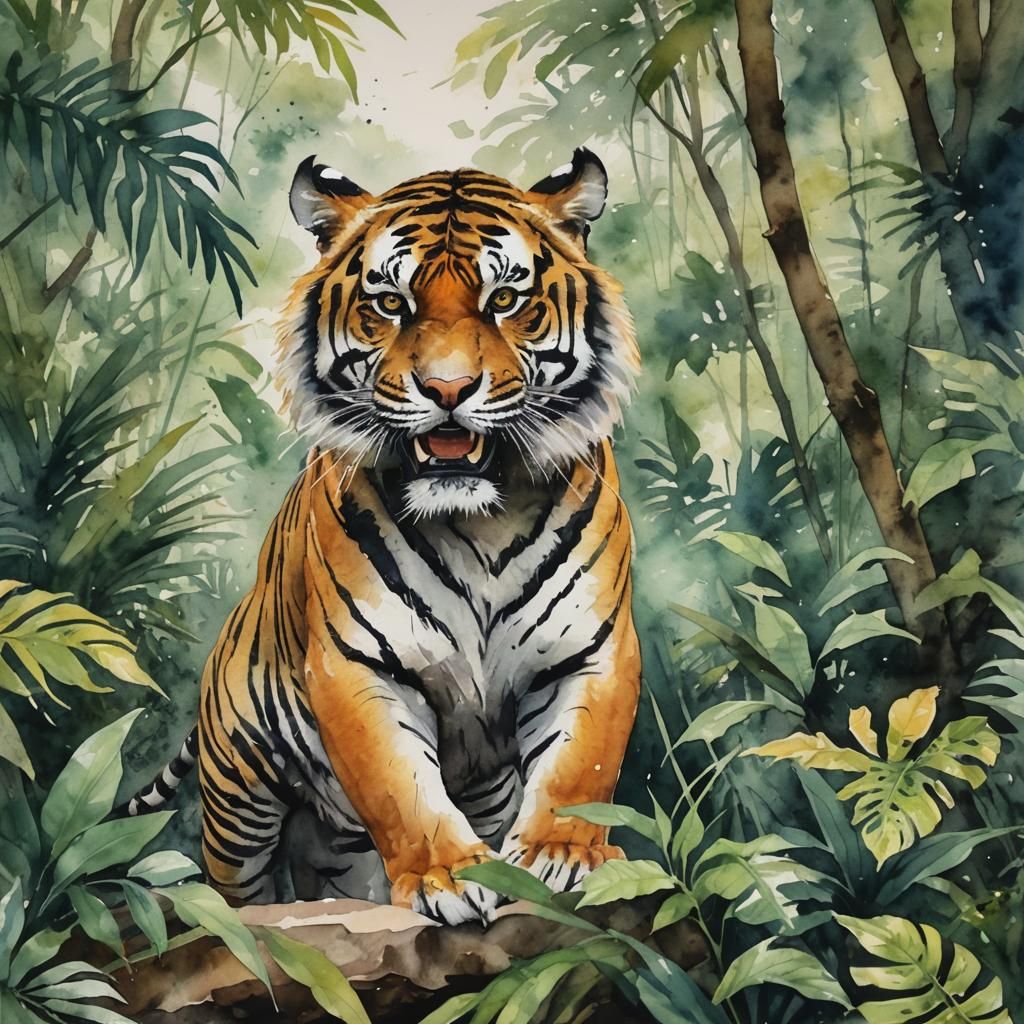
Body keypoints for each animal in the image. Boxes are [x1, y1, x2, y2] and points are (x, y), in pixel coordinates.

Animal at [131, 148, 641, 926]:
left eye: (504, 299)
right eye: (392, 304)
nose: (448, 390)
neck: (480, 520)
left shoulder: (593, 649)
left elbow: (580, 766)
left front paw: (561, 856)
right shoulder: (357, 665)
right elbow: (402, 789)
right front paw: (447, 878)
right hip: (239, 800)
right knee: (238, 890)